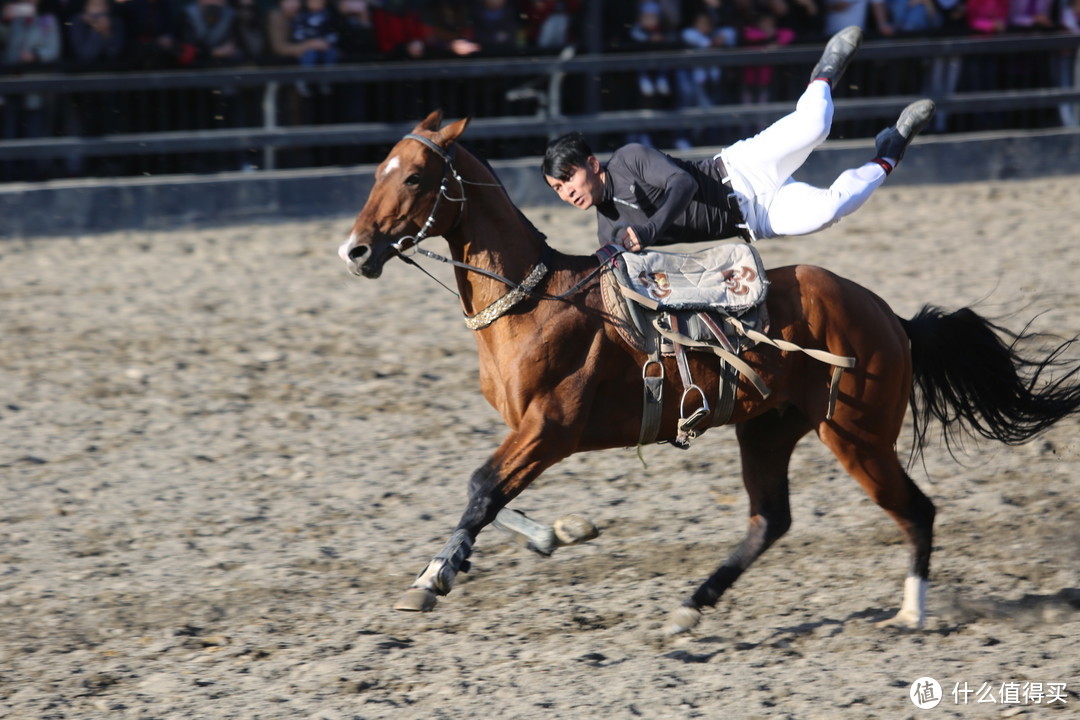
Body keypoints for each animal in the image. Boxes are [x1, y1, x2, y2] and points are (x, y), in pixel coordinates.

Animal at [339, 110, 1080, 634]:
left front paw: (432, 579)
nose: (355, 251)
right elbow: (492, 496)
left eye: (413, 177)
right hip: (770, 429)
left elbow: (482, 487)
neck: (539, 300)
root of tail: (889, 316)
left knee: (915, 511)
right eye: (375, 171)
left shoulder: (551, 426)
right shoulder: (531, 430)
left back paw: (911, 613)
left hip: (858, 435)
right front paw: (552, 534)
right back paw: (693, 604)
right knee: (769, 521)